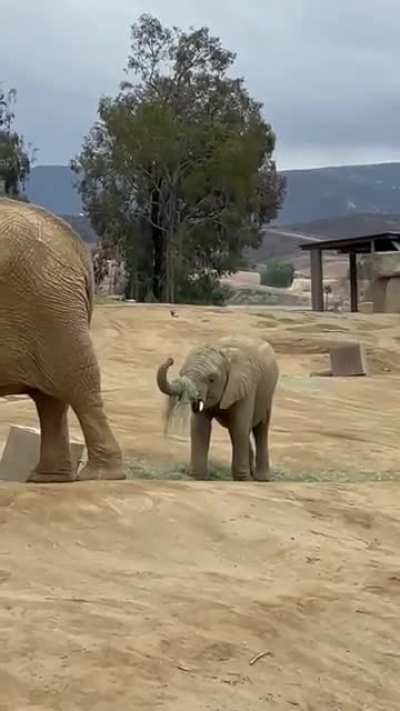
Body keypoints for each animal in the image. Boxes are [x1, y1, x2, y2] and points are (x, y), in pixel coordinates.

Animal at [0, 197, 124, 483]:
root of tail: (76, 247)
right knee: (50, 398)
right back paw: (47, 478)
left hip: (50, 305)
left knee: (75, 384)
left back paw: (100, 476)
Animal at [156, 335, 279, 481]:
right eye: (181, 373)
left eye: (212, 379)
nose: (170, 360)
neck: (224, 355)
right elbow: (200, 427)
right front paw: (197, 477)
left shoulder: (246, 387)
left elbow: (240, 427)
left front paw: (243, 479)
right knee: (235, 429)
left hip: (267, 394)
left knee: (260, 428)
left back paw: (261, 479)